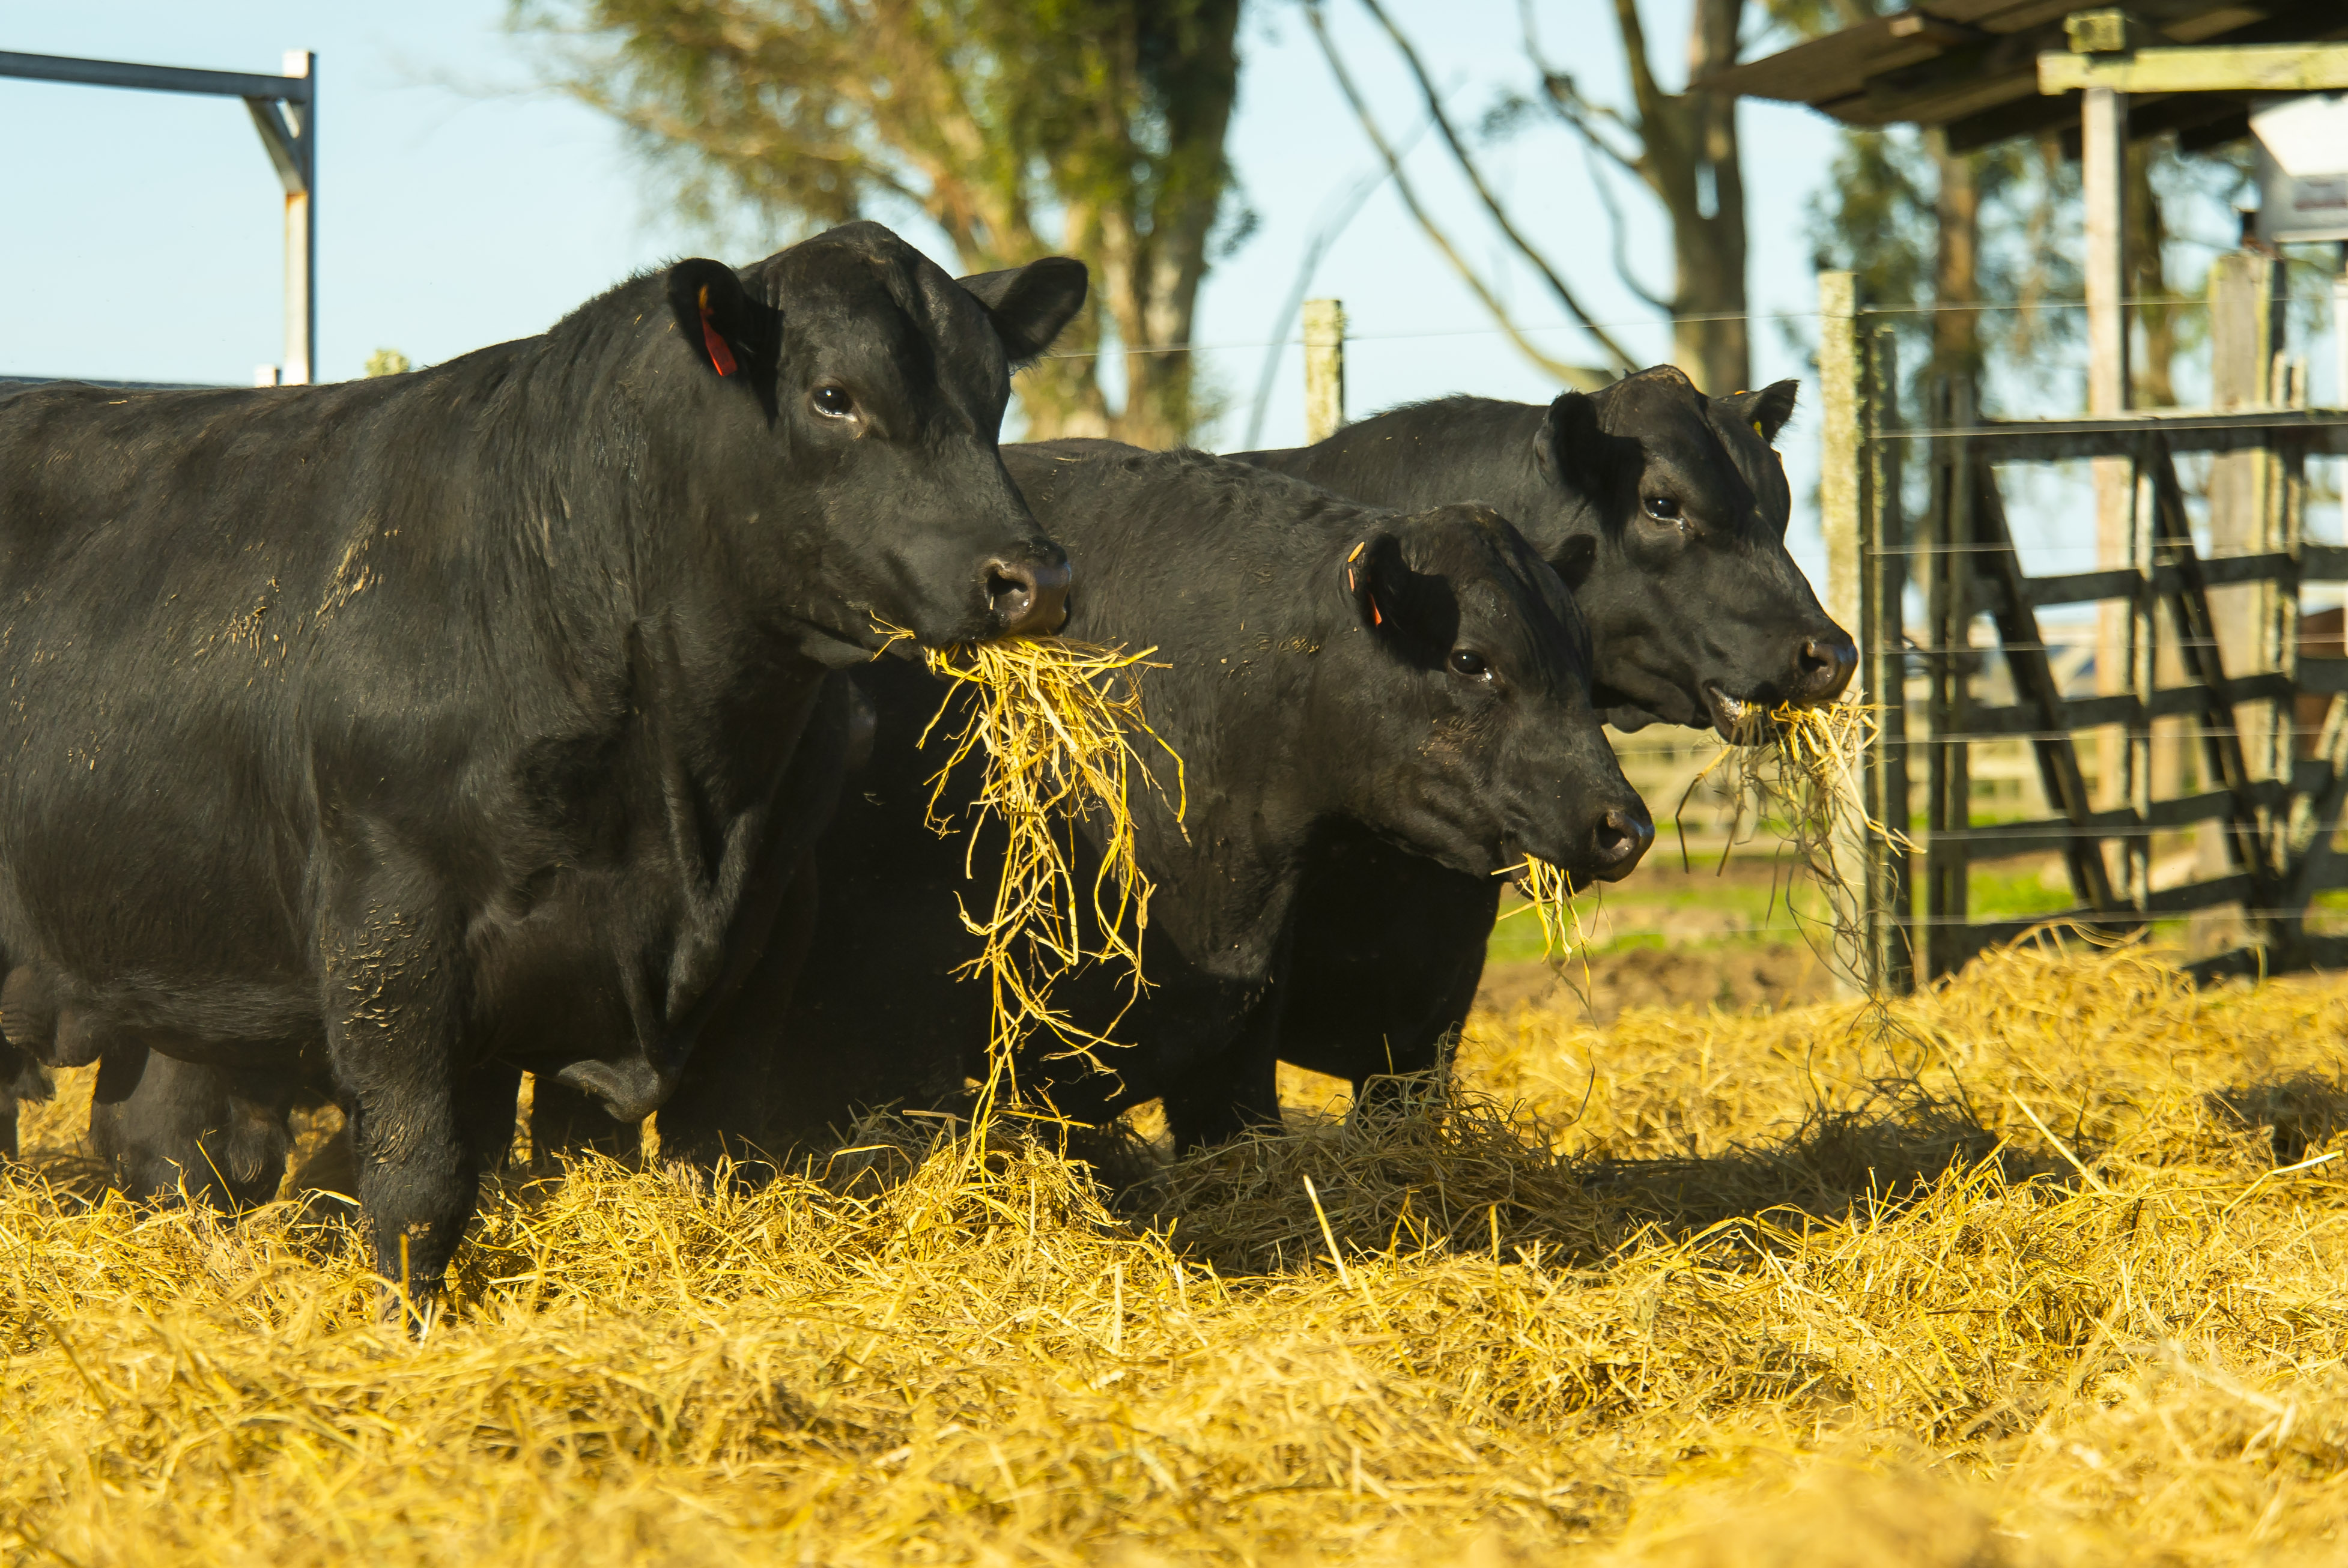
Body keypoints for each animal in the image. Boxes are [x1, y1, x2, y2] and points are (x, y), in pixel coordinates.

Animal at [0, 214, 1089, 1305]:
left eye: (993, 394)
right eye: (834, 396)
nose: (1032, 578)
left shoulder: (758, 936)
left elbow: (711, 1160)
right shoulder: (390, 930)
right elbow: (419, 1185)